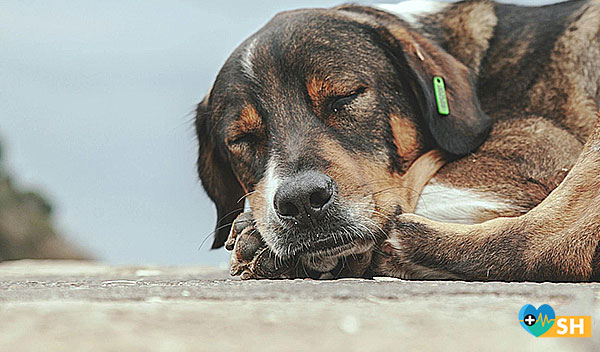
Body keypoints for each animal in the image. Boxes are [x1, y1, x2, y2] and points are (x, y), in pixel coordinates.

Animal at [197, 0, 600, 280]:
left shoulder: (543, 151)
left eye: (346, 97)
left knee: (541, 244)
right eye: (242, 139)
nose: (300, 201)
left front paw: (257, 235)